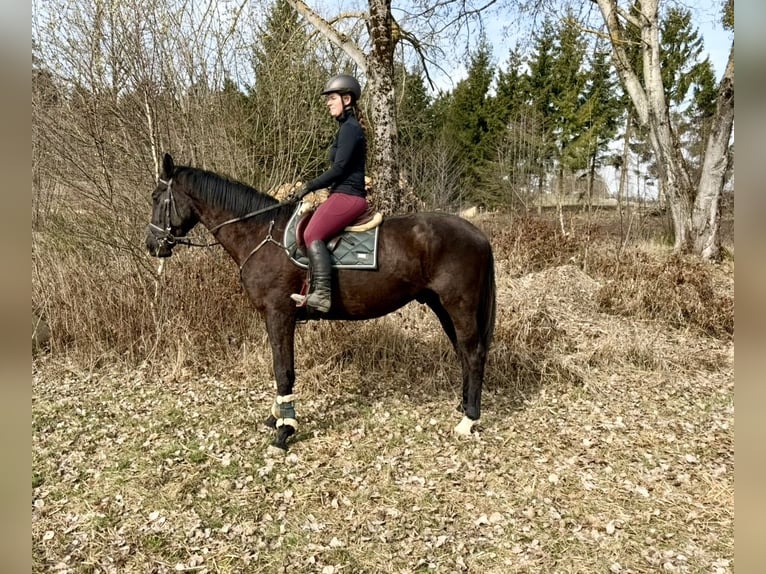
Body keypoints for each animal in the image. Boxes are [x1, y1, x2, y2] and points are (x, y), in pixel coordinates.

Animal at [146, 153, 496, 452]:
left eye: (157, 198)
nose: (152, 245)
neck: (261, 235)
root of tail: (477, 235)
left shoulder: (279, 314)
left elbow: (283, 369)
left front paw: (284, 430)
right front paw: (276, 416)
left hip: (459, 305)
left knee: (473, 353)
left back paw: (468, 419)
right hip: (441, 305)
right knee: (462, 351)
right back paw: (464, 404)